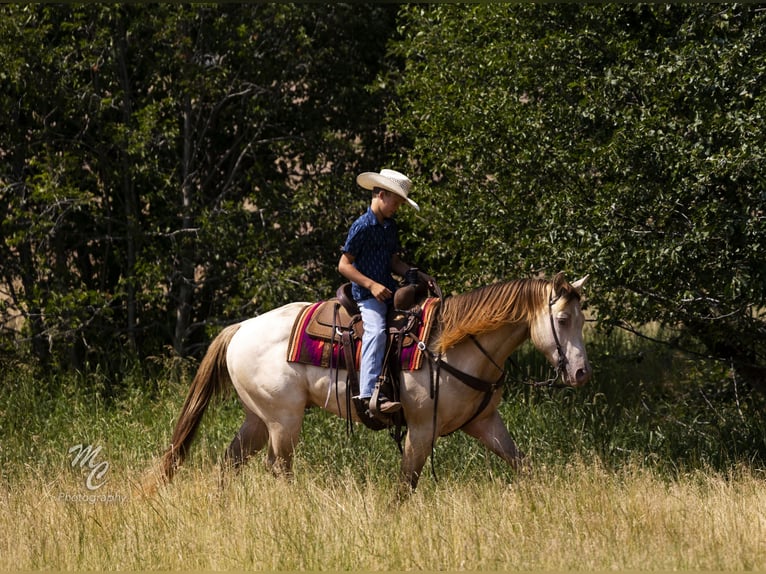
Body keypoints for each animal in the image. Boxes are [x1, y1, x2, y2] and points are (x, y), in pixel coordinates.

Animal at [159, 272, 592, 492]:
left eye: (584, 319)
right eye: (562, 319)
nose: (581, 373)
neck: (454, 344)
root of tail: (241, 328)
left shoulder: (485, 424)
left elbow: (524, 465)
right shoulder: (421, 429)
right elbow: (405, 485)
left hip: (257, 419)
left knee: (228, 463)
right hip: (284, 422)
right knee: (279, 470)